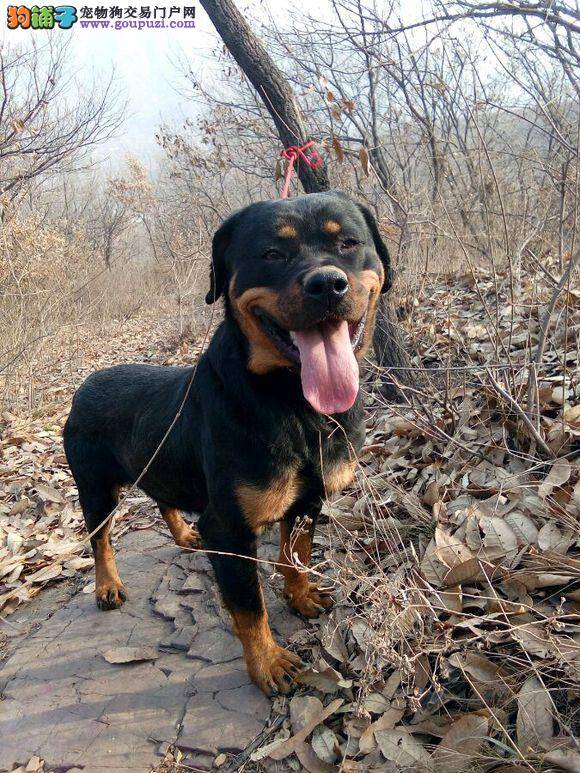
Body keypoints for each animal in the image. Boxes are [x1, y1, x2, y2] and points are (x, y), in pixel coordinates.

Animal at [62, 191, 390, 692]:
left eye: (349, 243)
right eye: (271, 254)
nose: (327, 285)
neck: (293, 403)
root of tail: (86, 384)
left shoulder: (307, 502)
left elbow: (296, 555)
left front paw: (301, 596)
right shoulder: (230, 528)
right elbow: (249, 607)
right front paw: (268, 663)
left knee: (163, 496)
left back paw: (183, 534)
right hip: (94, 485)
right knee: (100, 539)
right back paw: (107, 586)